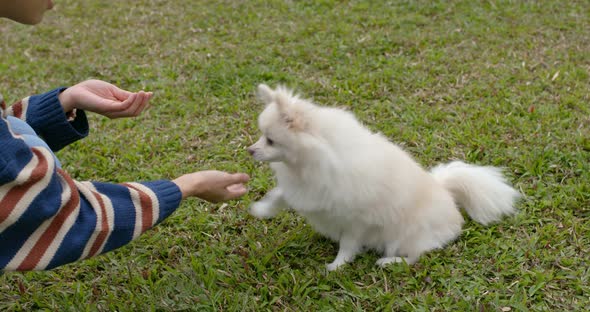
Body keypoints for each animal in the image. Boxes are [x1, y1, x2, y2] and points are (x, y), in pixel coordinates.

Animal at [247, 83, 520, 270]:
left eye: (270, 140)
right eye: (261, 136)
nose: (250, 150)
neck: (307, 164)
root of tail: (446, 193)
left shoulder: (355, 220)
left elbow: (348, 245)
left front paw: (337, 266)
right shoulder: (305, 189)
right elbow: (280, 194)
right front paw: (262, 209)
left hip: (406, 235)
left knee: (416, 256)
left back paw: (390, 262)